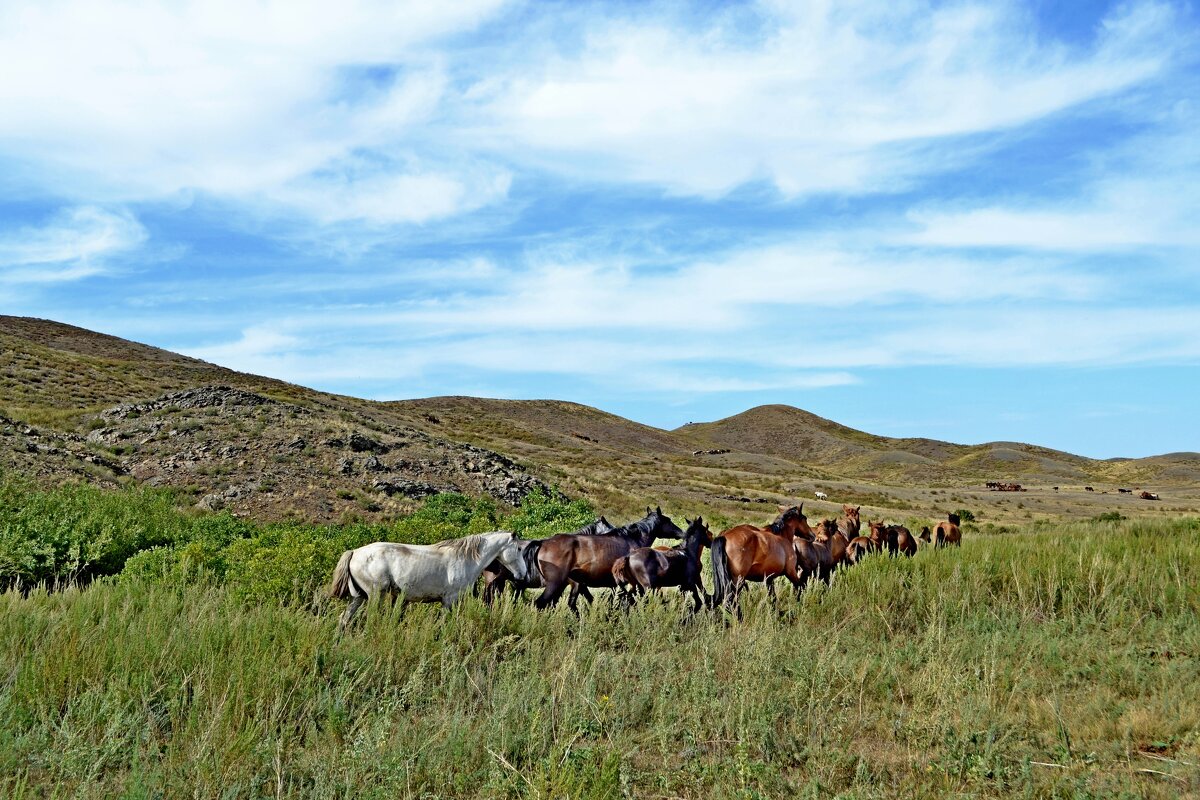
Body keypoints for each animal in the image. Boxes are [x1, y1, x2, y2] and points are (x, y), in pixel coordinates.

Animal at [333, 527, 530, 633]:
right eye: (519, 549)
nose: (523, 575)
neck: (466, 559)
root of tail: (354, 552)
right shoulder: (449, 599)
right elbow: (444, 623)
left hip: (358, 597)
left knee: (344, 619)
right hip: (375, 596)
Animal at [535, 506, 686, 614]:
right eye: (668, 520)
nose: (682, 533)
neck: (632, 539)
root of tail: (543, 544)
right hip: (557, 584)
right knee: (542, 603)